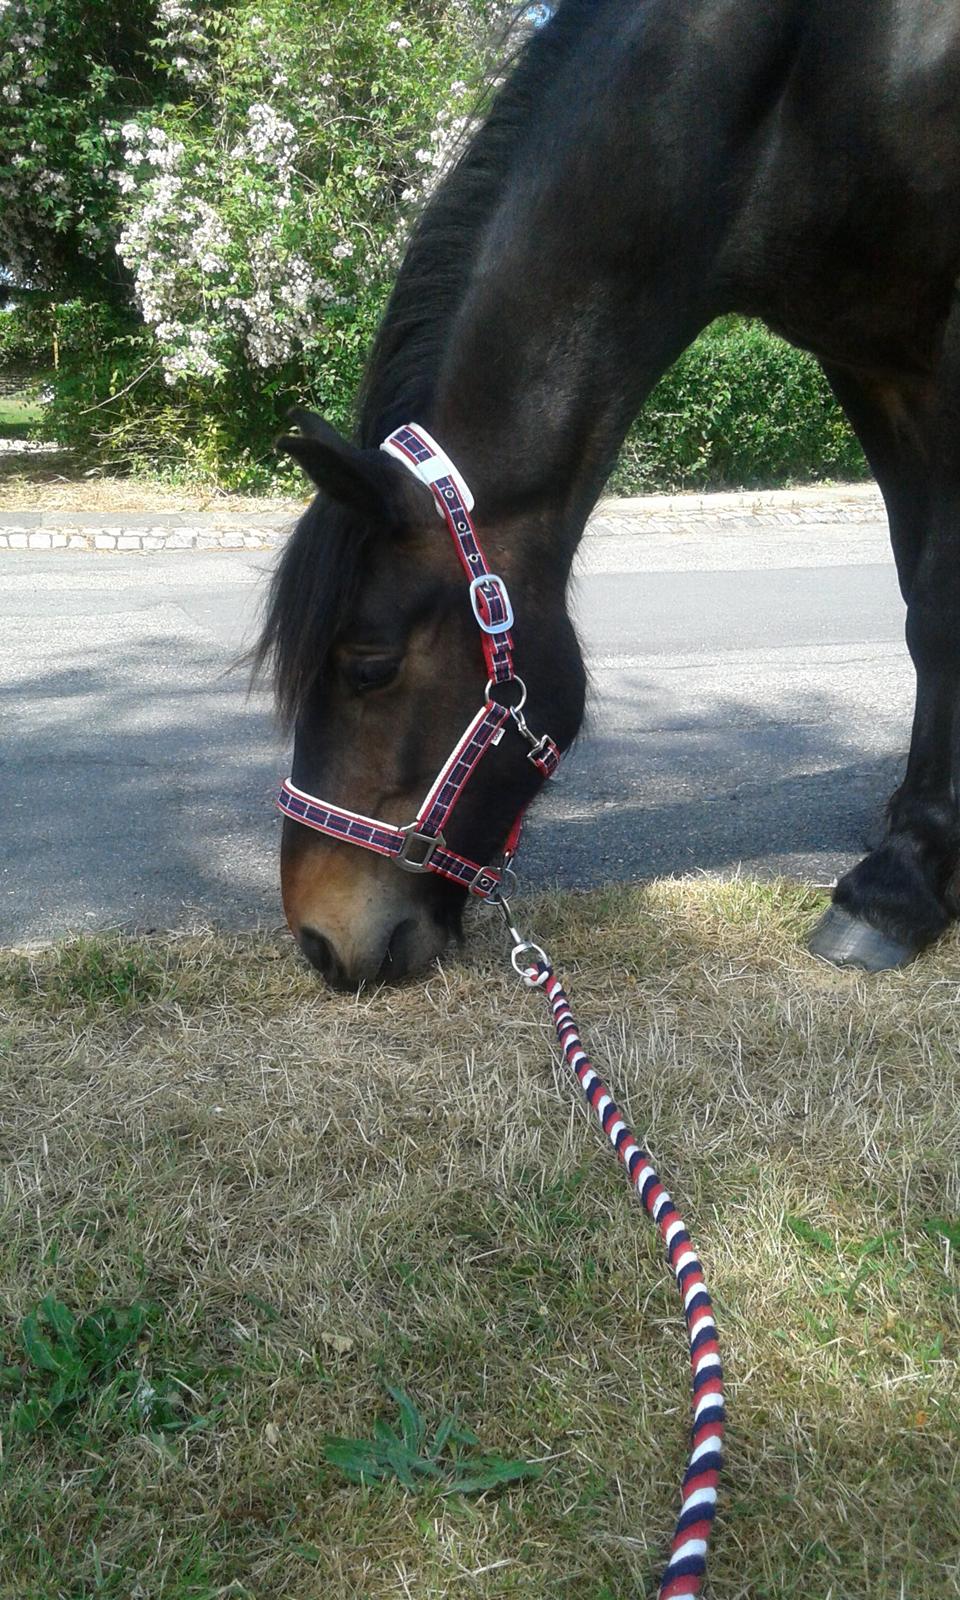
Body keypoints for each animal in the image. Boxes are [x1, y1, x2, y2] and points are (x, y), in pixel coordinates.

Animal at [256, 0, 960, 987]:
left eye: (369, 666)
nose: (320, 943)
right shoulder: (868, 356)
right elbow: (913, 580)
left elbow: (938, 607)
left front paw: (898, 884)